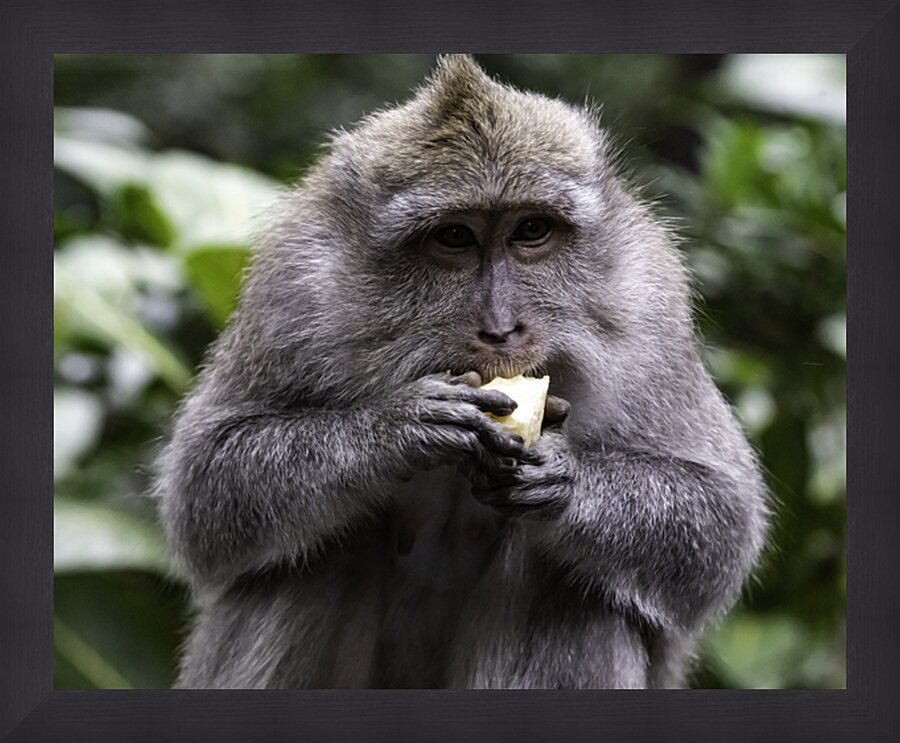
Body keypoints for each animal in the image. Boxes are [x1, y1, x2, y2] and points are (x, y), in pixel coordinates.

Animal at [153, 54, 769, 689]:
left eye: (531, 230)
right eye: (454, 237)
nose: (500, 328)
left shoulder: (649, 305)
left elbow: (722, 518)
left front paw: (565, 481)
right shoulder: (293, 287)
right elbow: (203, 486)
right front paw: (396, 431)